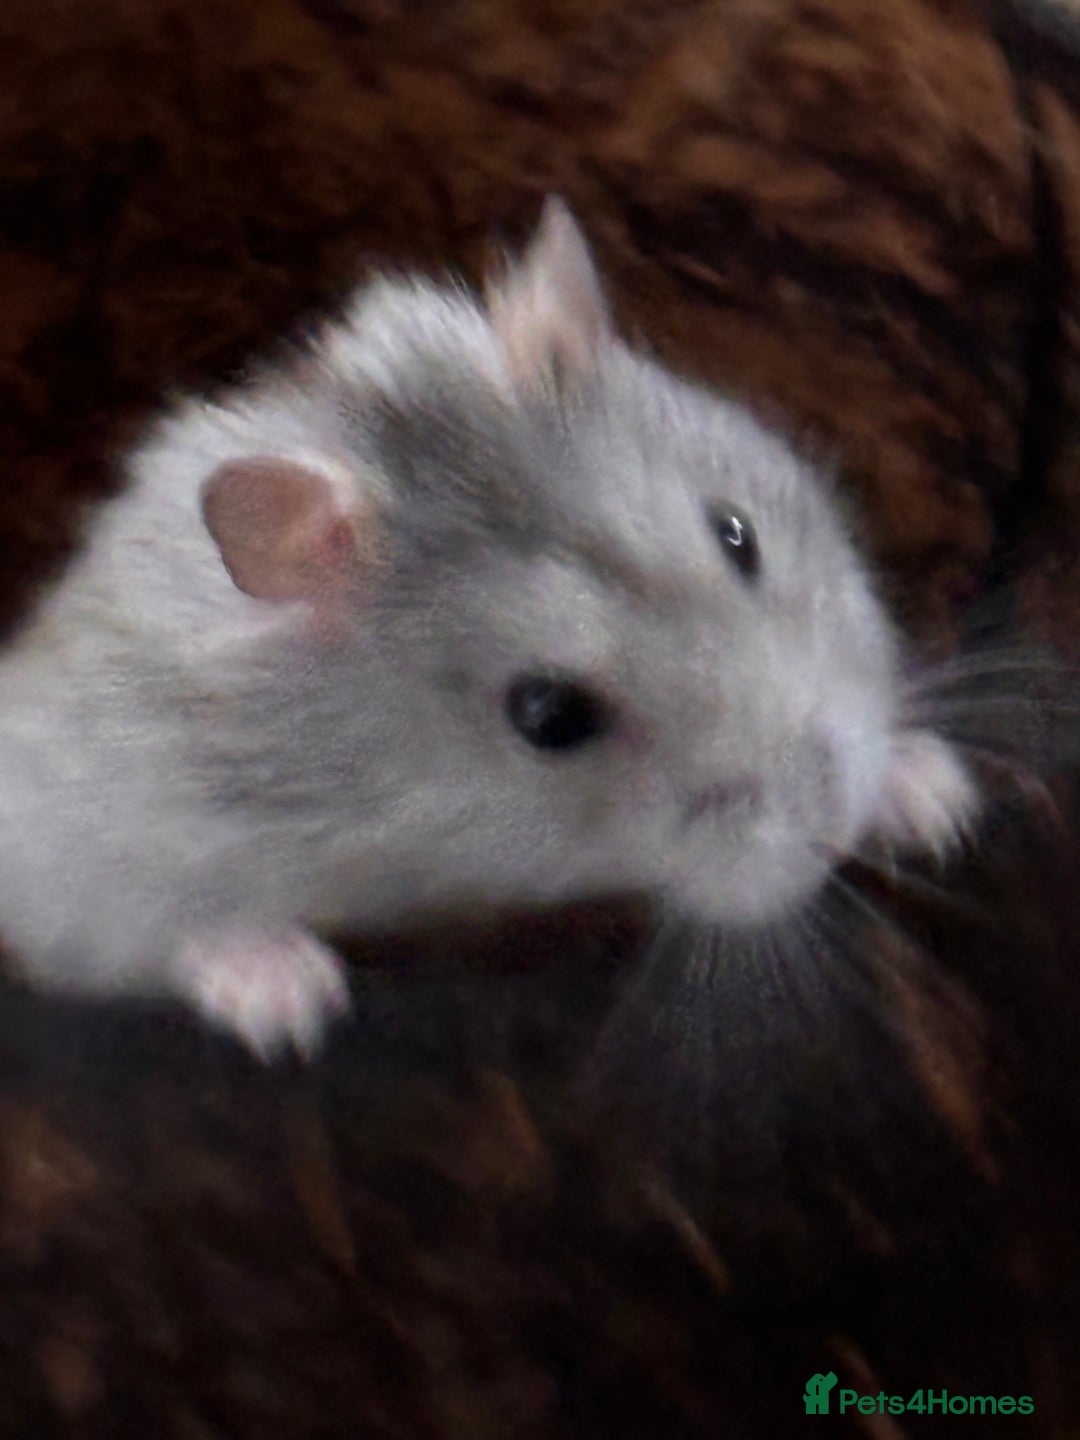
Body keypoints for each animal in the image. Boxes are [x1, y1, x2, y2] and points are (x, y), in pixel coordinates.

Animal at [0, 199, 977, 1058]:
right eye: (547, 716)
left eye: (738, 535)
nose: (833, 826)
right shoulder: (85, 847)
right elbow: (152, 930)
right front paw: (292, 1005)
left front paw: (938, 798)